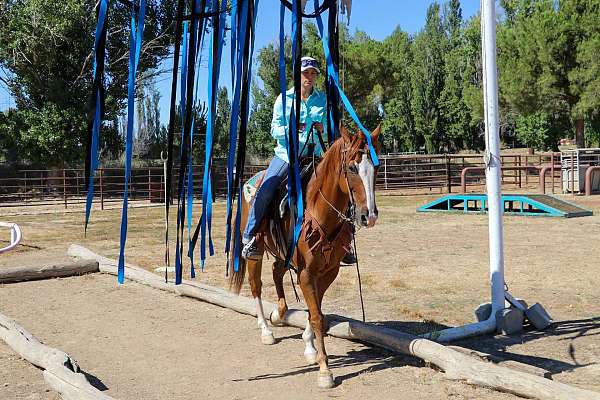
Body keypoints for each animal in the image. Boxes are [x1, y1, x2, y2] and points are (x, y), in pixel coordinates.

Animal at [230, 124, 380, 388]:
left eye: (377, 167)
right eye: (352, 168)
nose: (368, 216)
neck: (318, 208)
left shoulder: (328, 271)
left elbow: (315, 311)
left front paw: (310, 347)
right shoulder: (307, 273)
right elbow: (318, 316)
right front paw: (324, 370)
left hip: (284, 255)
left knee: (276, 272)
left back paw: (278, 314)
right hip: (255, 253)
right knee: (256, 285)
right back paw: (266, 330)